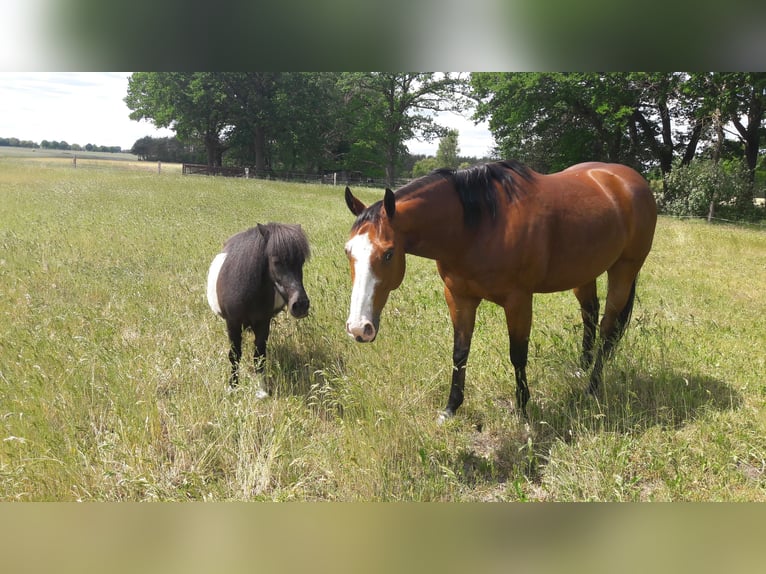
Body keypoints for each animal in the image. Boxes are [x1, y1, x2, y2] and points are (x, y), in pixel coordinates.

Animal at [207, 223, 310, 398]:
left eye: (301, 261)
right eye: (276, 262)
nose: (301, 305)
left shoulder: (263, 323)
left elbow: (259, 357)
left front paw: (261, 391)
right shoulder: (232, 323)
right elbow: (234, 356)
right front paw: (233, 387)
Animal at [343, 160, 657, 422]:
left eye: (388, 254)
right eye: (348, 251)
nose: (359, 328)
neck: (476, 225)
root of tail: (627, 178)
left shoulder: (518, 301)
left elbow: (518, 354)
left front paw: (523, 409)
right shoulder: (459, 297)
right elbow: (460, 352)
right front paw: (451, 408)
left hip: (624, 270)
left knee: (607, 328)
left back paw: (591, 388)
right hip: (584, 272)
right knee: (589, 315)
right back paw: (581, 368)